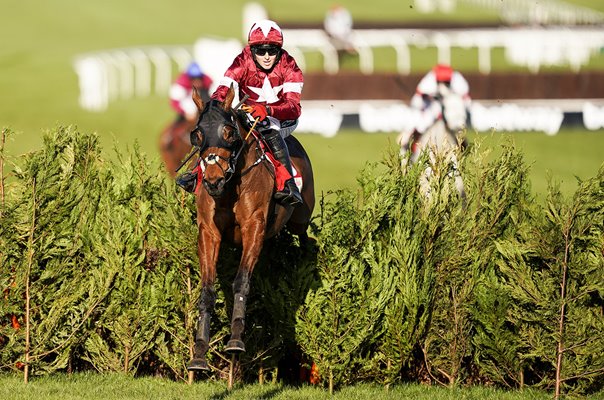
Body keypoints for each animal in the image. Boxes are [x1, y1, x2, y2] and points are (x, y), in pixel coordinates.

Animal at [185, 84, 316, 372]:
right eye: (197, 134)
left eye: (229, 132)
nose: (213, 181)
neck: (231, 186)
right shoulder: (208, 232)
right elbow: (207, 291)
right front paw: (199, 353)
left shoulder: (253, 227)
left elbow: (241, 282)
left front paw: (235, 340)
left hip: (300, 217)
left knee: (307, 241)